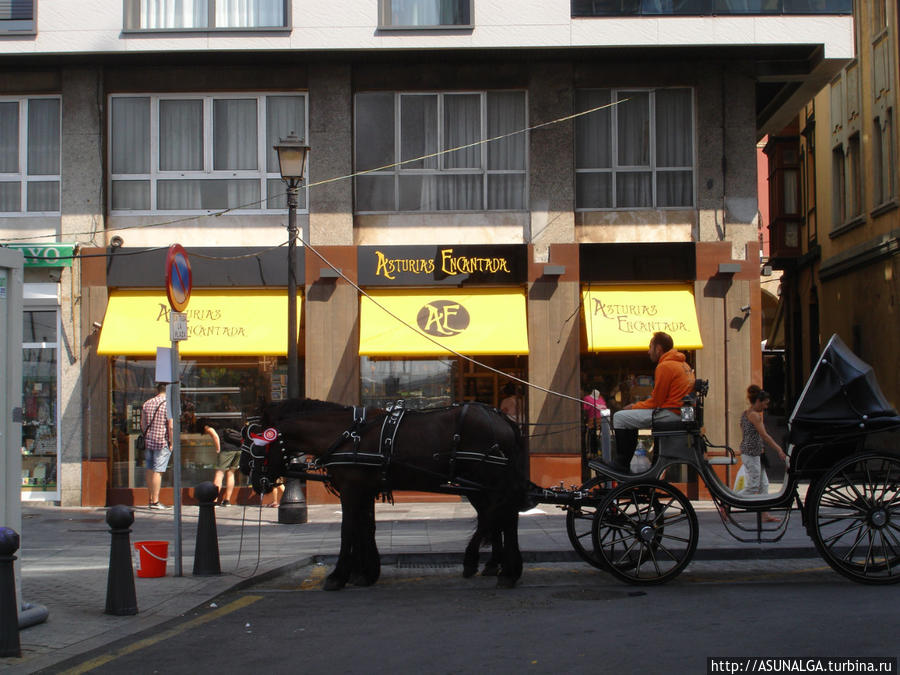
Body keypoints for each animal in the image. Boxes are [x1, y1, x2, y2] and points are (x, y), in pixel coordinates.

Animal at [243, 402, 532, 592]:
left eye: (256, 446)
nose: (251, 477)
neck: (347, 434)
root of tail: (506, 421)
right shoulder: (364, 490)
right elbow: (365, 528)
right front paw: (366, 572)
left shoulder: (351, 490)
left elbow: (348, 529)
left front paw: (339, 576)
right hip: (482, 484)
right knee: (500, 516)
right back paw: (502, 567)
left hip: (487, 480)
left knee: (502, 515)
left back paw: (496, 567)